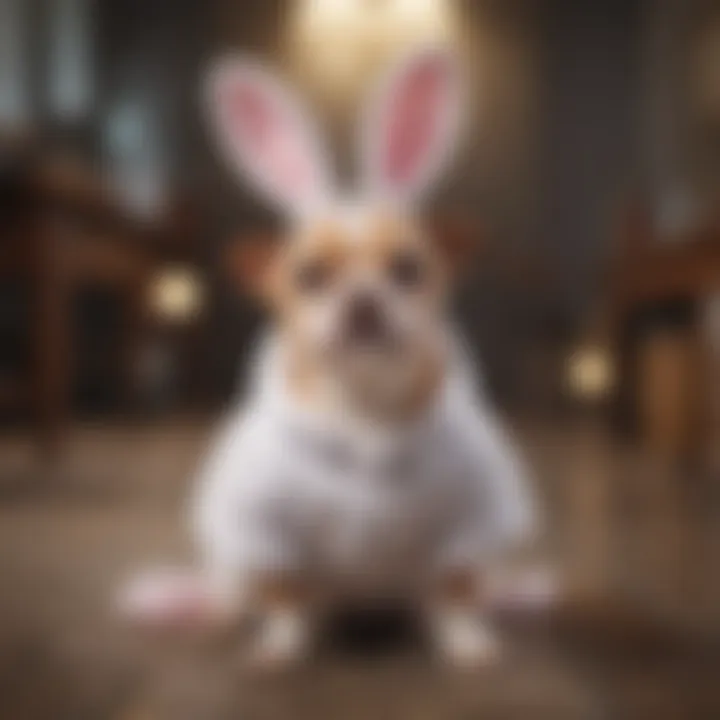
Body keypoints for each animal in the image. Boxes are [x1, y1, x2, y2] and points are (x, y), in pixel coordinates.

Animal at [119, 49, 536, 668]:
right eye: (309, 276)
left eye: (408, 269)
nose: (363, 301)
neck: (364, 414)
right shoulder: (267, 535)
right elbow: (290, 599)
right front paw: (283, 644)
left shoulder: (467, 527)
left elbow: (453, 594)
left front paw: (466, 640)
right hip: (238, 566)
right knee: (239, 594)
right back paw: (208, 611)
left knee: (442, 593)